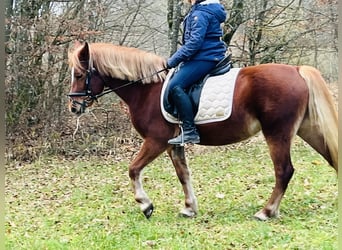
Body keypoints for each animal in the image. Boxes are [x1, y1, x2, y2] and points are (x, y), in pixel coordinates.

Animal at [67, 43, 336, 221]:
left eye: (79, 74)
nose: (73, 107)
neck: (147, 90)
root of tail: (296, 69)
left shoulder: (156, 141)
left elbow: (133, 169)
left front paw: (146, 205)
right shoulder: (174, 144)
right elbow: (183, 175)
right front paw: (189, 208)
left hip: (277, 133)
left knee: (284, 171)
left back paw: (266, 211)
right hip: (307, 129)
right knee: (331, 157)